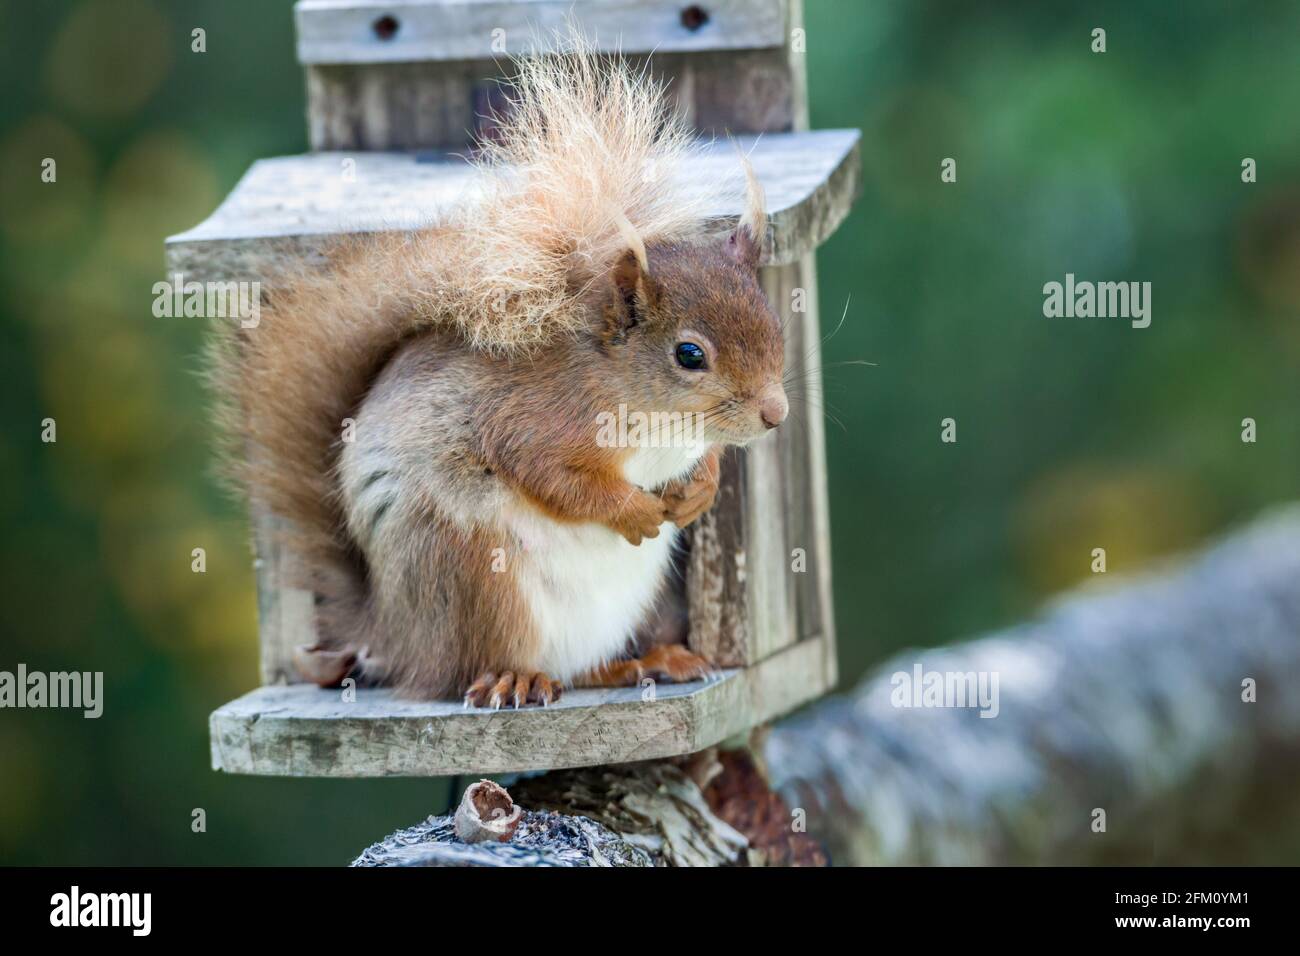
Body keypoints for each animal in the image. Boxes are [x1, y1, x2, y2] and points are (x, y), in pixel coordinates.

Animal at [208, 41, 785, 707]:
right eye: (689, 355)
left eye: (775, 321)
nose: (775, 414)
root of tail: (395, 635)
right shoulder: (535, 418)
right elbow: (554, 477)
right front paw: (632, 510)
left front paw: (700, 489)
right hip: (472, 570)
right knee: (472, 665)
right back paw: (515, 676)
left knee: (579, 670)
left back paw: (643, 662)